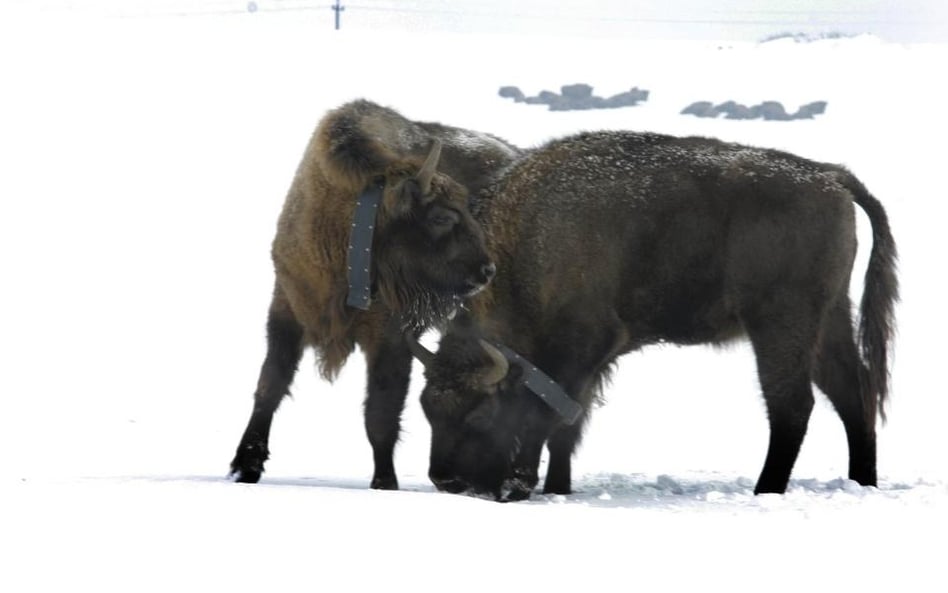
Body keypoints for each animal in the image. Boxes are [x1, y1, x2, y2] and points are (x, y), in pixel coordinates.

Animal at [232, 98, 524, 486]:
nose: (486, 271)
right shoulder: (287, 310)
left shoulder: (390, 337)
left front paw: (385, 482)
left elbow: (381, 413)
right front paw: (244, 467)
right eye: (441, 217)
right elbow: (270, 386)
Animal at [408, 130, 896, 500]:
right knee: (852, 394)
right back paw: (862, 482)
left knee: (793, 405)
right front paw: (557, 487)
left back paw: (767, 490)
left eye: (479, 413)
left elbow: (547, 415)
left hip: (780, 325)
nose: (446, 481)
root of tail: (830, 177)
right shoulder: (593, 362)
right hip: (829, 319)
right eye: (427, 409)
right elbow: (569, 423)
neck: (530, 244)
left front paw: (521, 486)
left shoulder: (584, 346)